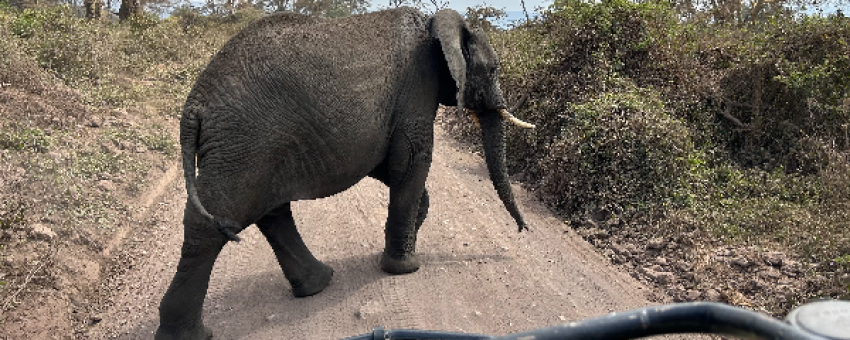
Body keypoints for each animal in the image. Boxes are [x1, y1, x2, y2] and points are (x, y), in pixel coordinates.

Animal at [156, 5, 532, 340]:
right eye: (494, 69)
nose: (522, 229)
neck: (437, 22)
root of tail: (194, 105)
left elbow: (392, 168)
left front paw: (406, 239)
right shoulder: (417, 87)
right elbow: (411, 159)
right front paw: (404, 268)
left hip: (251, 146)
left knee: (272, 213)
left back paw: (318, 284)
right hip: (242, 142)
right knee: (213, 224)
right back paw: (188, 334)